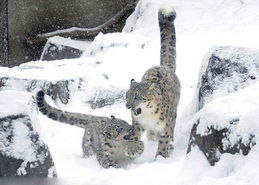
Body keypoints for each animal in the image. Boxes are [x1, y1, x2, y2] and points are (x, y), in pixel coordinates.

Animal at [126, 6, 181, 158]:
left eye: (137, 96)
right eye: (127, 95)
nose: (128, 106)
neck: (147, 115)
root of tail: (163, 66)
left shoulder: (164, 126)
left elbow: (163, 140)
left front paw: (161, 157)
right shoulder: (137, 123)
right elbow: (134, 135)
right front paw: (131, 149)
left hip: (173, 114)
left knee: (172, 130)